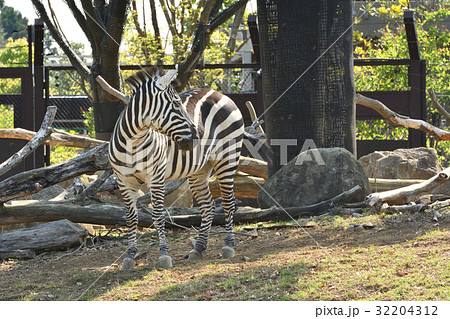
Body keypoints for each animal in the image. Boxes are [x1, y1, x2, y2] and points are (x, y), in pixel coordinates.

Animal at [108, 67, 244, 270]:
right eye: (175, 103)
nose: (197, 137)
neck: (133, 144)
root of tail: (218, 93)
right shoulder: (123, 182)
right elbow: (131, 218)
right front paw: (130, 257)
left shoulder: (156, 178)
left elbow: (158, 215)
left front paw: (164, 256)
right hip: (198, 170)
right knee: (208, 205)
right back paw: (198, 248)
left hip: (227, 158)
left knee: (228, 202)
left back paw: (228, 246)